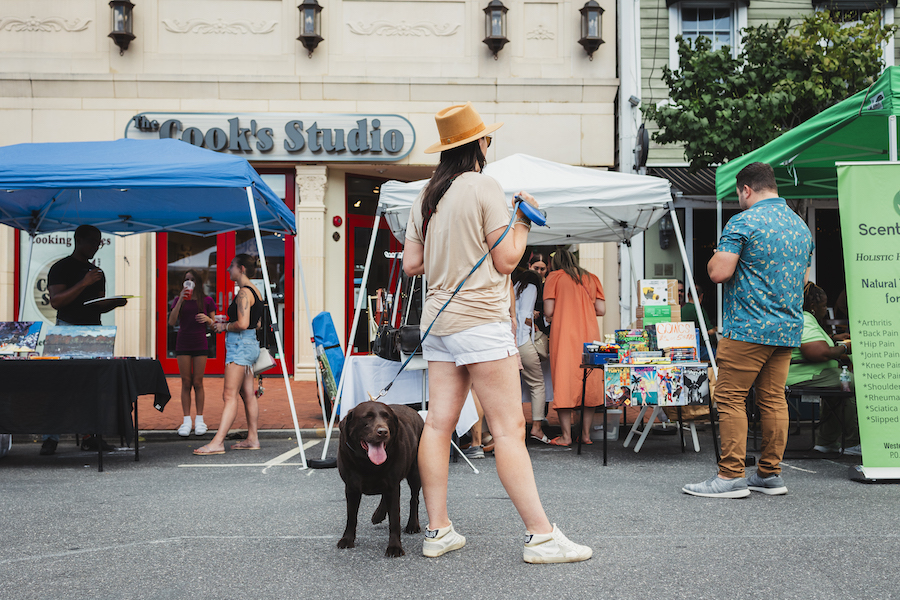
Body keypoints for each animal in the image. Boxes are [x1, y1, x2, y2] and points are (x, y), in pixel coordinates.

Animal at [337, 400, 424, 558]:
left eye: (386, 417)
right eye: (367, 417)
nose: (383, 431)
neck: (368, 463)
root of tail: (414, 411)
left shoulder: (393, 486)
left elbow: (394, 519)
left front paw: (394, 547)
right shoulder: (351, 488)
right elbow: (351, 516)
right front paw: (347, 539)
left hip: (415, 472)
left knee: (414, 499)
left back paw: (412, 524)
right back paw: (379, 514)